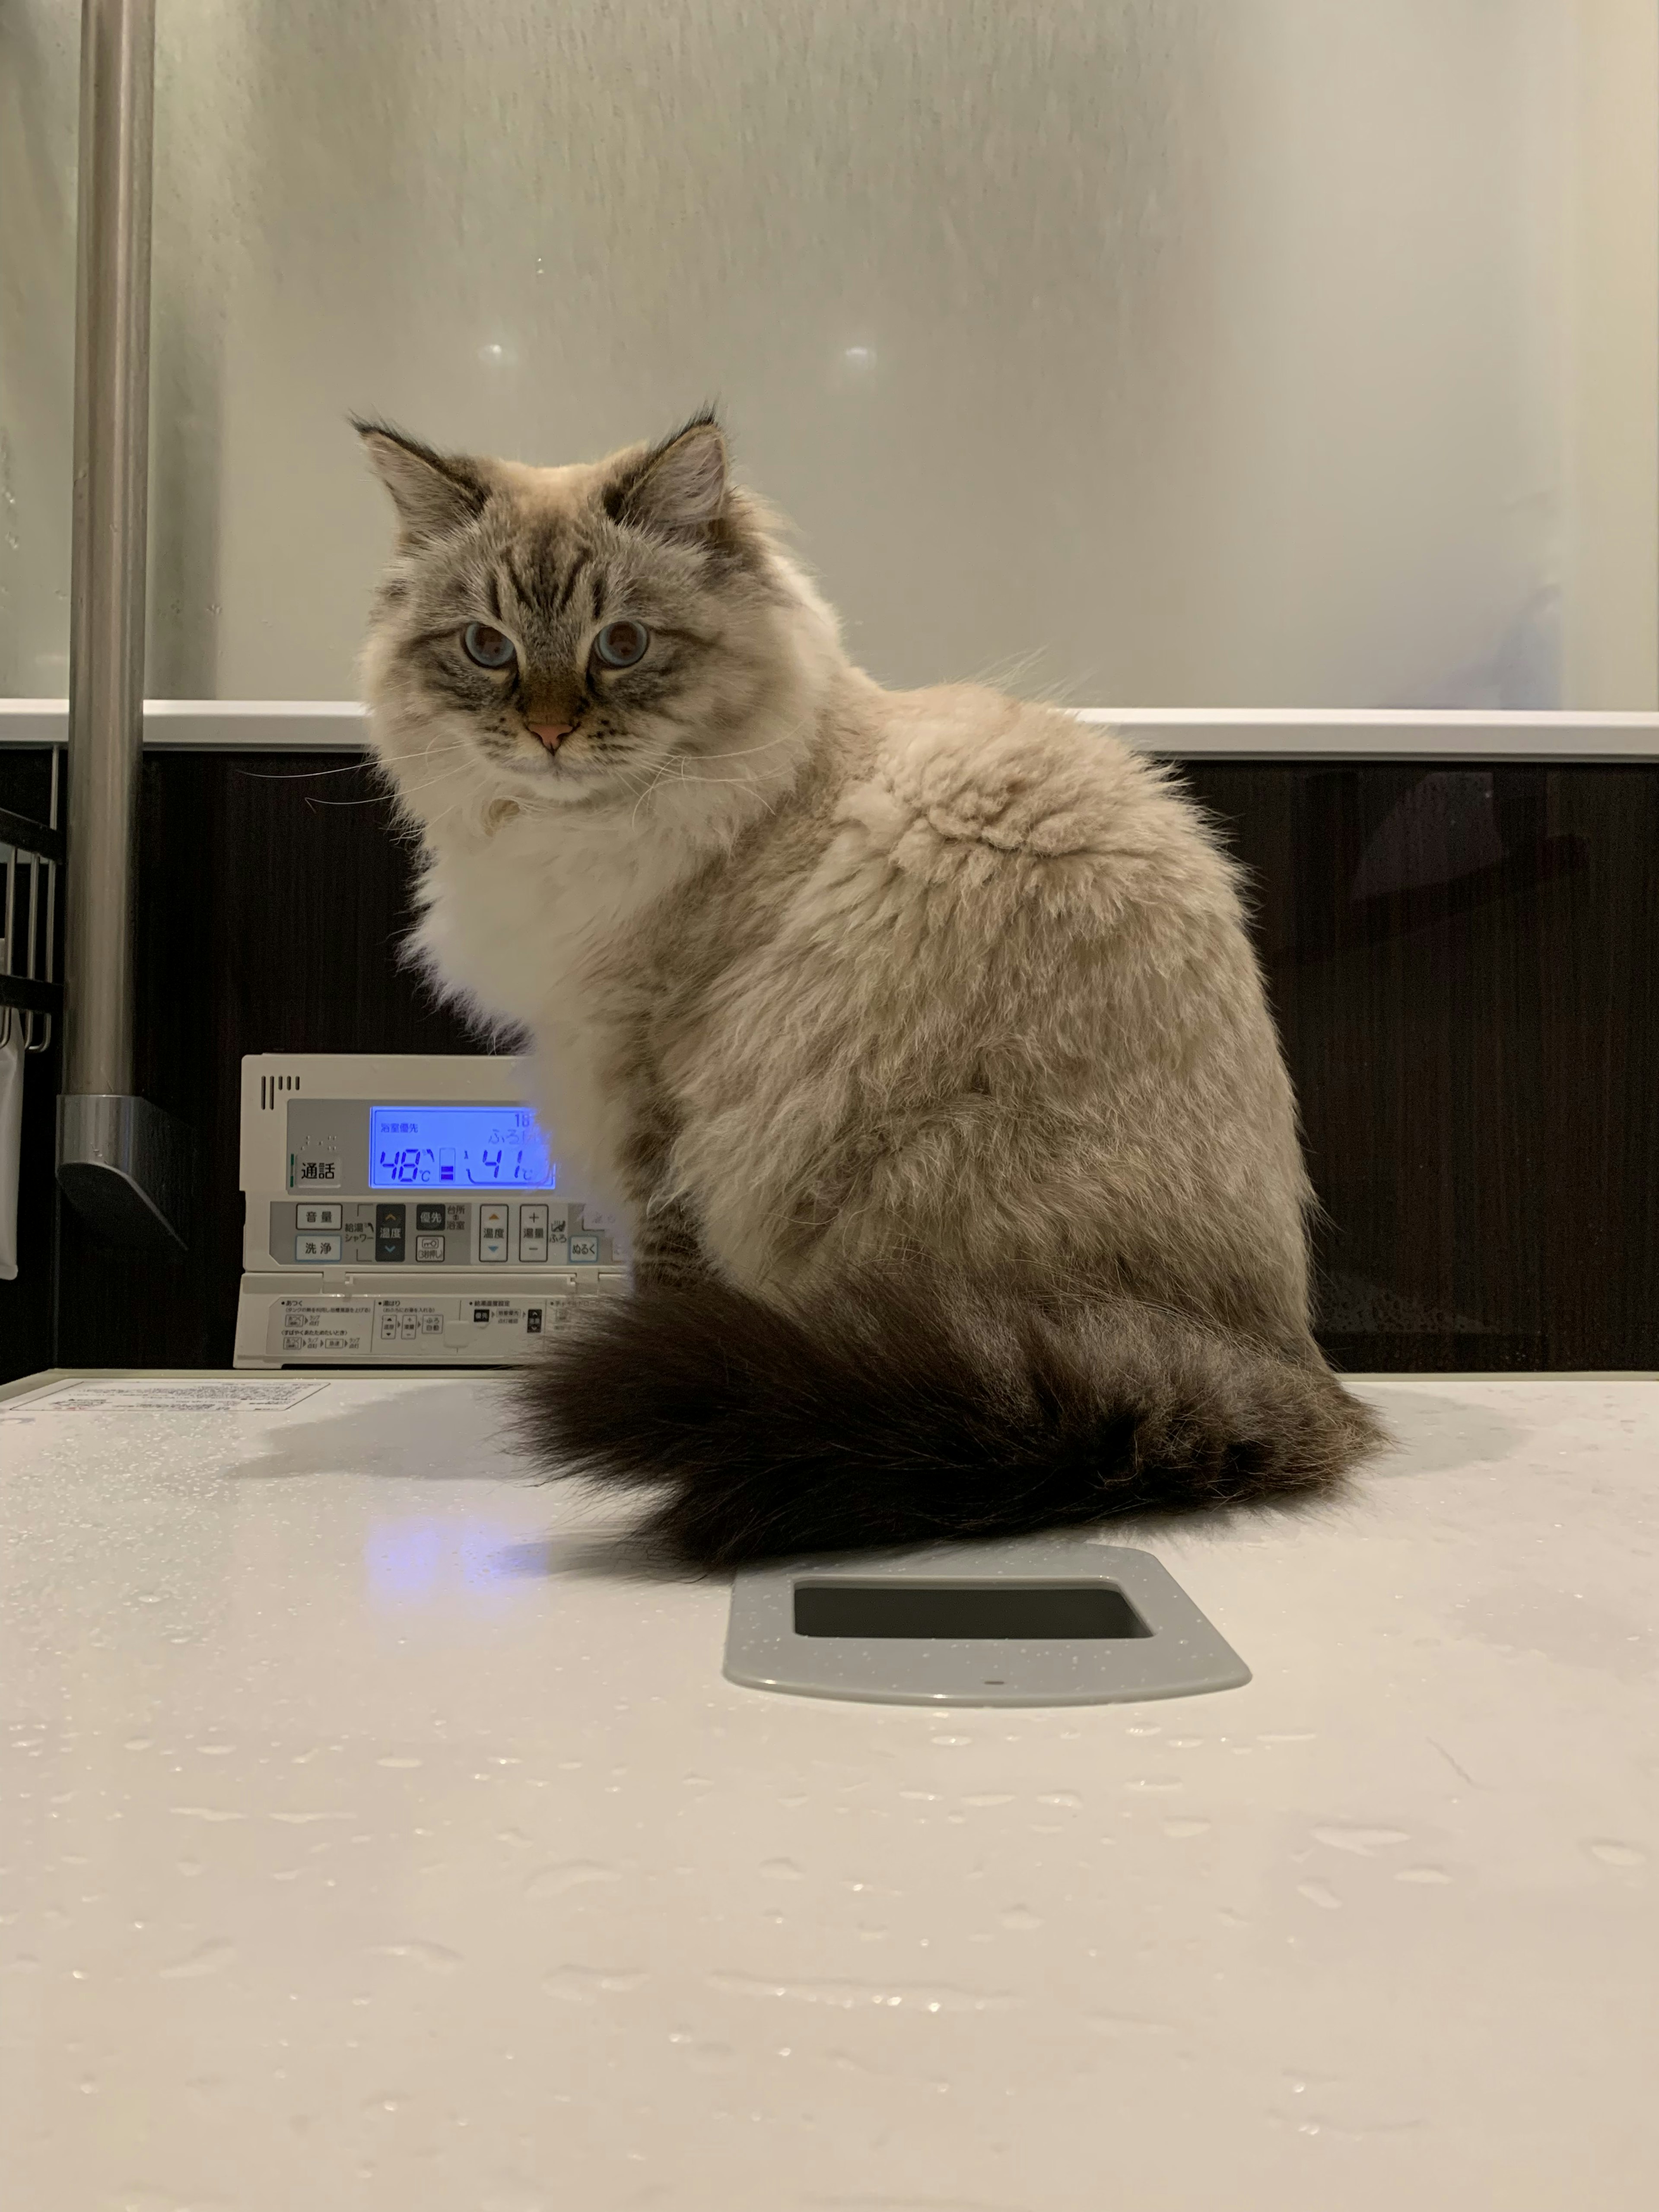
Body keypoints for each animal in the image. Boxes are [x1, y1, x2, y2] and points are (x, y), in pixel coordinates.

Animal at [358, 411, 1380, 1557]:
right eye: (486, 648)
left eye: (620, 646)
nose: (547, 732)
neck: (590, 840)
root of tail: (1284, 1360)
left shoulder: (651, 1098)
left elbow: (665, 1273)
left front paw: (646, 1346)